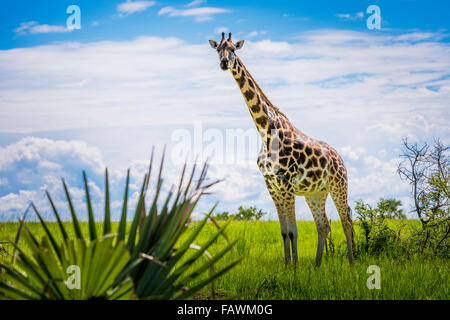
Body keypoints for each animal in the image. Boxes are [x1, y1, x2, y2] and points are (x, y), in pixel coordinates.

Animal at [211, 33, 356, 266]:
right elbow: (284, 231)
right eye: (218, 50)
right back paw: (317, 265)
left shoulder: (286, 183)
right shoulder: (271, 184)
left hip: (339, 186)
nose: (224, 63)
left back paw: (351, 265)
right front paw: (288, 265)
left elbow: (293, 231)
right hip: (316, 192)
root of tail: (340, 158)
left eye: (233, 49)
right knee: (323, 226)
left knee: (347, 223)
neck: (265, 130)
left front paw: (294, 267)